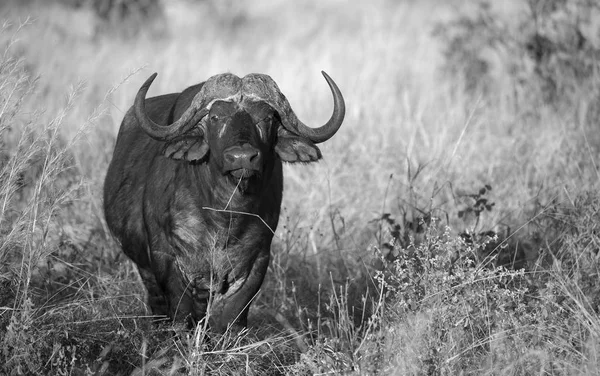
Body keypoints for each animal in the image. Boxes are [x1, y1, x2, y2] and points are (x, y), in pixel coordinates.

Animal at [105, 71, 344, 332]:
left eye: (267, 118)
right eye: (215, 117)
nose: (242, 158)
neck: (225, 216)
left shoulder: (258, 261)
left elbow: (233, 317)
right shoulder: (164, 256)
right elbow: (181, 312)